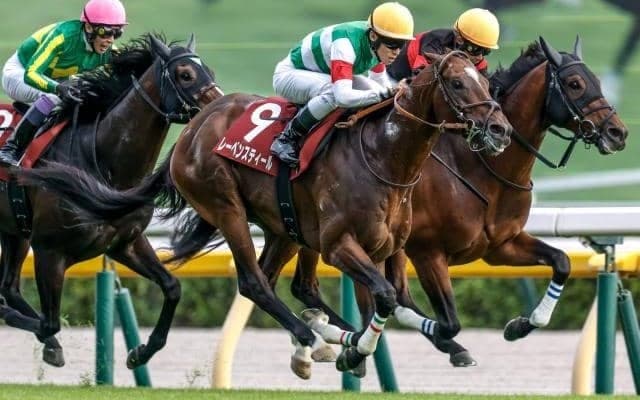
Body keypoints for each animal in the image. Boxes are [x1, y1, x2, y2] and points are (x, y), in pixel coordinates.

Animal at [0, 33, 222, 368]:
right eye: (185, 74)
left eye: (208, 69)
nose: (222, 104)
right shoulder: (49, 252)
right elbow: (49, 322)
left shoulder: (124, 243)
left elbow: (172, 287)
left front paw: (141, 352)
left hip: (15, 232)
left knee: (11, 288)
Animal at [14, 51, 512, 378]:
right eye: (458, 84)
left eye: (485, 80)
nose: (500, 129)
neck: (385, 156)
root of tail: (195, 125)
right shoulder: (339, 246)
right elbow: (386, 299)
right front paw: (350, 349)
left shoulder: (392, 249)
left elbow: (413, 308)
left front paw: (361, 344)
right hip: (225, 205)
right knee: (254, 282)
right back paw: (314, 340)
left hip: (283, 227)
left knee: (272, 284)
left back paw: (316, 338)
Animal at [287, 36, 628, 367]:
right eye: (575, 83)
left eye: (596, 81)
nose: (618, 132)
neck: (481, 166)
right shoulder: (427, 250)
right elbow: (446, 320)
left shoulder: (501, 245)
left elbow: (561, 261)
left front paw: (520, 326)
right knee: (315, 287)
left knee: (316, 287)